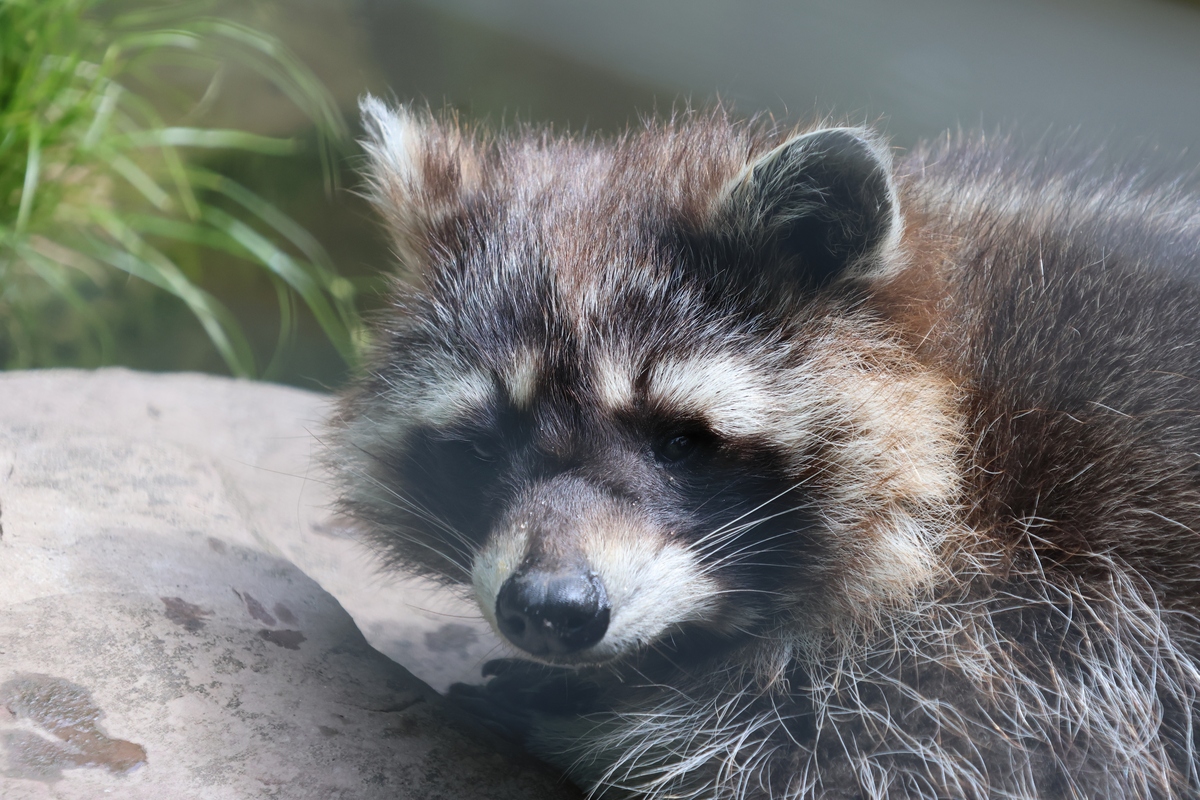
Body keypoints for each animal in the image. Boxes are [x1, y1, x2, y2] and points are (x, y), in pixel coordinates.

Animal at [330, 97, 1200, 799]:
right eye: (482, 447)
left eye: (680, 441)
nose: (550, 608)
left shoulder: (1072, 577)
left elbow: (937, 744)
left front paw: (618, 731)